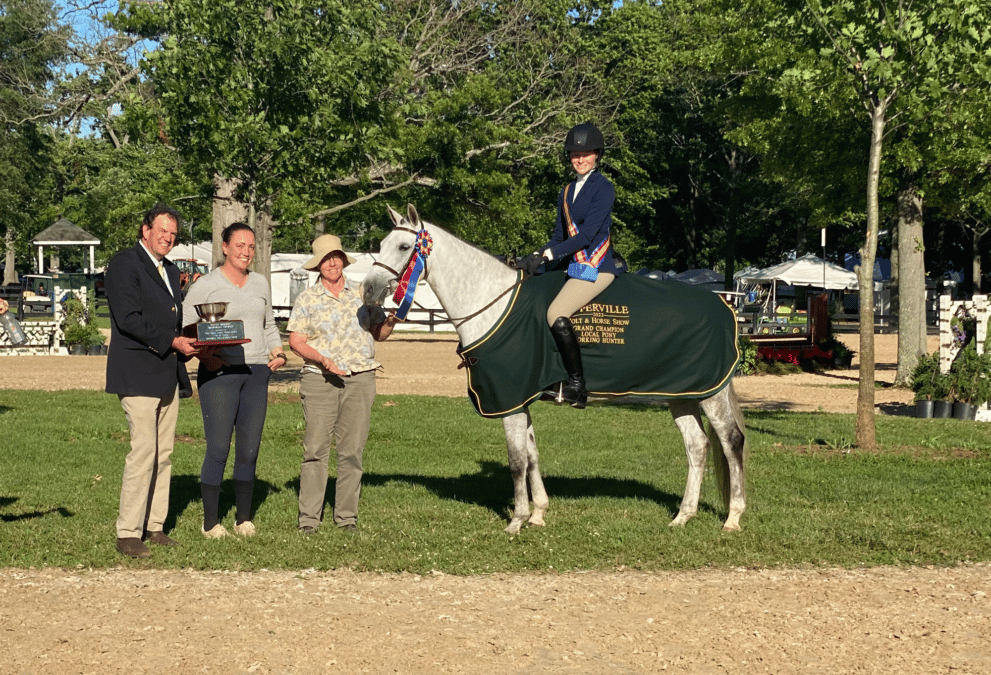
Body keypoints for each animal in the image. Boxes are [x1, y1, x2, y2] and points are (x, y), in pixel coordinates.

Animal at [362, 203, 744, 536]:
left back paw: (733, 518)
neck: (495, 305)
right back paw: (683, 516)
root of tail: (723, 306)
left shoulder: (510, 401)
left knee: (730, 441)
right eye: (379, 245)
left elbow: (517, 460)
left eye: (404, 246)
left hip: (711, 394)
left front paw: (516, 520)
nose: (368, 289)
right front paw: (538, 514)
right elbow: (532, 455)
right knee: (697, 446)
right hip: (683, 393)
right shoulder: (521, 399)